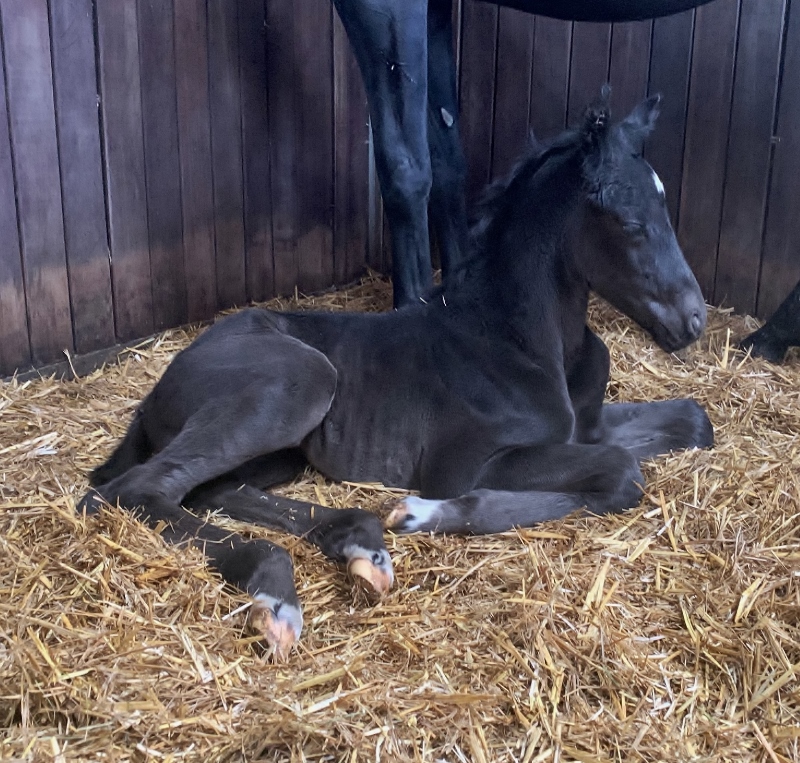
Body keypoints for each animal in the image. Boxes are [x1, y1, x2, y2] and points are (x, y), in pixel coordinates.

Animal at [81, 91, 713, 657]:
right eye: (629, 221)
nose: (694, 320)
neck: (528, 342)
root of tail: (162, 382)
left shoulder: (588, 426)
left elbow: (691, 421)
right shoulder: (470, 463)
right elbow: (620, 472)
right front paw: (424, 513)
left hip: (281, 452)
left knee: (208, 489)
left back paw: (357, 544)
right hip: (301, 381)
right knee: (135, 490)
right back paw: (275, 587)